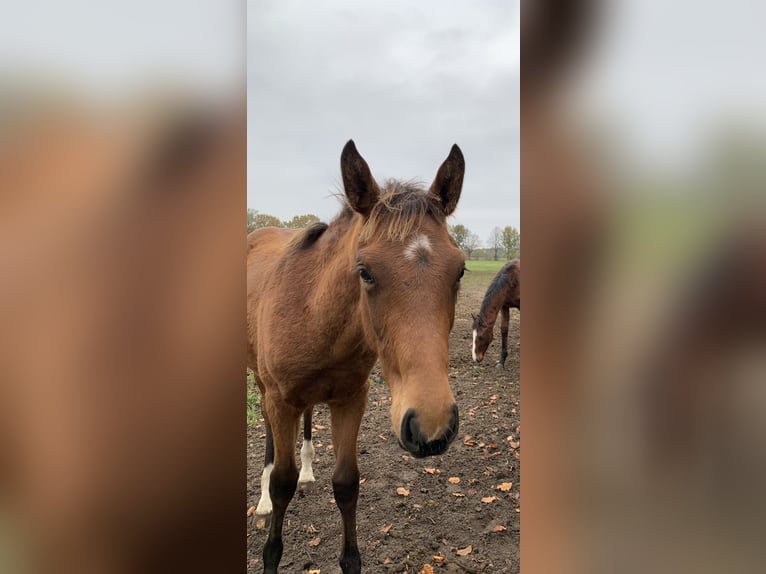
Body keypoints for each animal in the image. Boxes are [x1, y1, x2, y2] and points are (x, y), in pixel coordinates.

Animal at [247, 140, 466, 573]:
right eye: (364, 271)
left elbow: (347, 483)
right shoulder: (280, 400)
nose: (431, 426)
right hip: (263, 387)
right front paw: (270, 552)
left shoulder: (351, 398)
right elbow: (282, 483)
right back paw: (262, 497)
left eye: (461, 271)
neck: (314, 313)